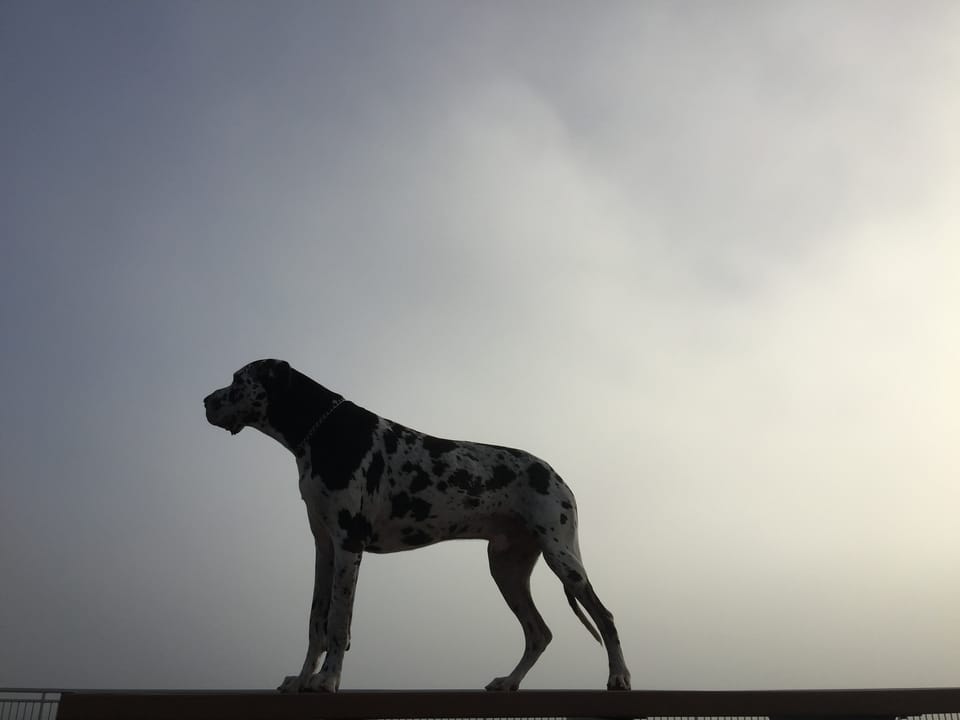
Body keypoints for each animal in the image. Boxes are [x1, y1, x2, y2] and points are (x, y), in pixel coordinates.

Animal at [202, 360, 632, 692]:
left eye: (238, 380)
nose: (206, 401)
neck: (319, 430)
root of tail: (557, 475)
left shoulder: (349, 544)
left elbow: (339, 622)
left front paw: (327, 680)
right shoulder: (324, 548)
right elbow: (316, 621)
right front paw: (303, 679)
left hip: (562, 558)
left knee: (605, 617)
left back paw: (619, 676)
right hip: (506, 568)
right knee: (538, 633)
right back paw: (510, 681)